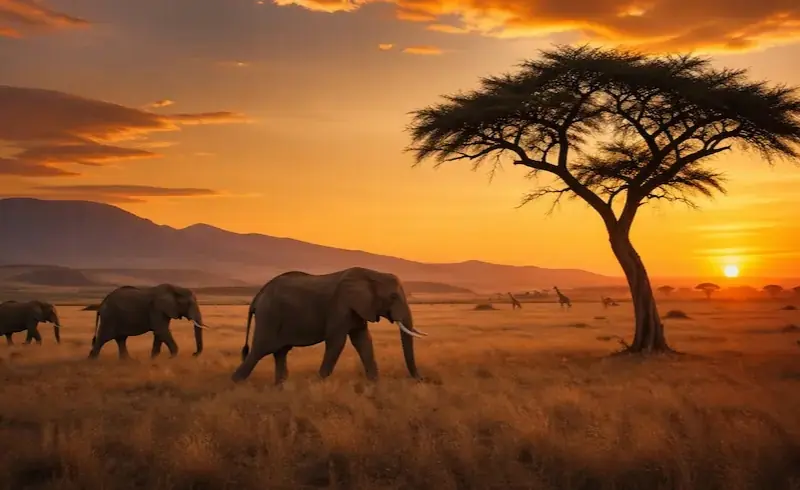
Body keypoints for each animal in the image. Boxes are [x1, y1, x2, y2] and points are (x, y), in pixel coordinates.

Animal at [230, 266, 429, 384]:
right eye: (393, 297)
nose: (420, 379)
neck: (371, 274)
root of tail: (258, 296)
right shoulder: (340, 306)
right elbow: (337, 342)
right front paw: (320, 382)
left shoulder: (357, 309)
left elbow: (363, 340)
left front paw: (374, 383)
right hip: (269, 316)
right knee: (259, 350)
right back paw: (235, 384)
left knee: (280, 352)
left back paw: (281, 386)